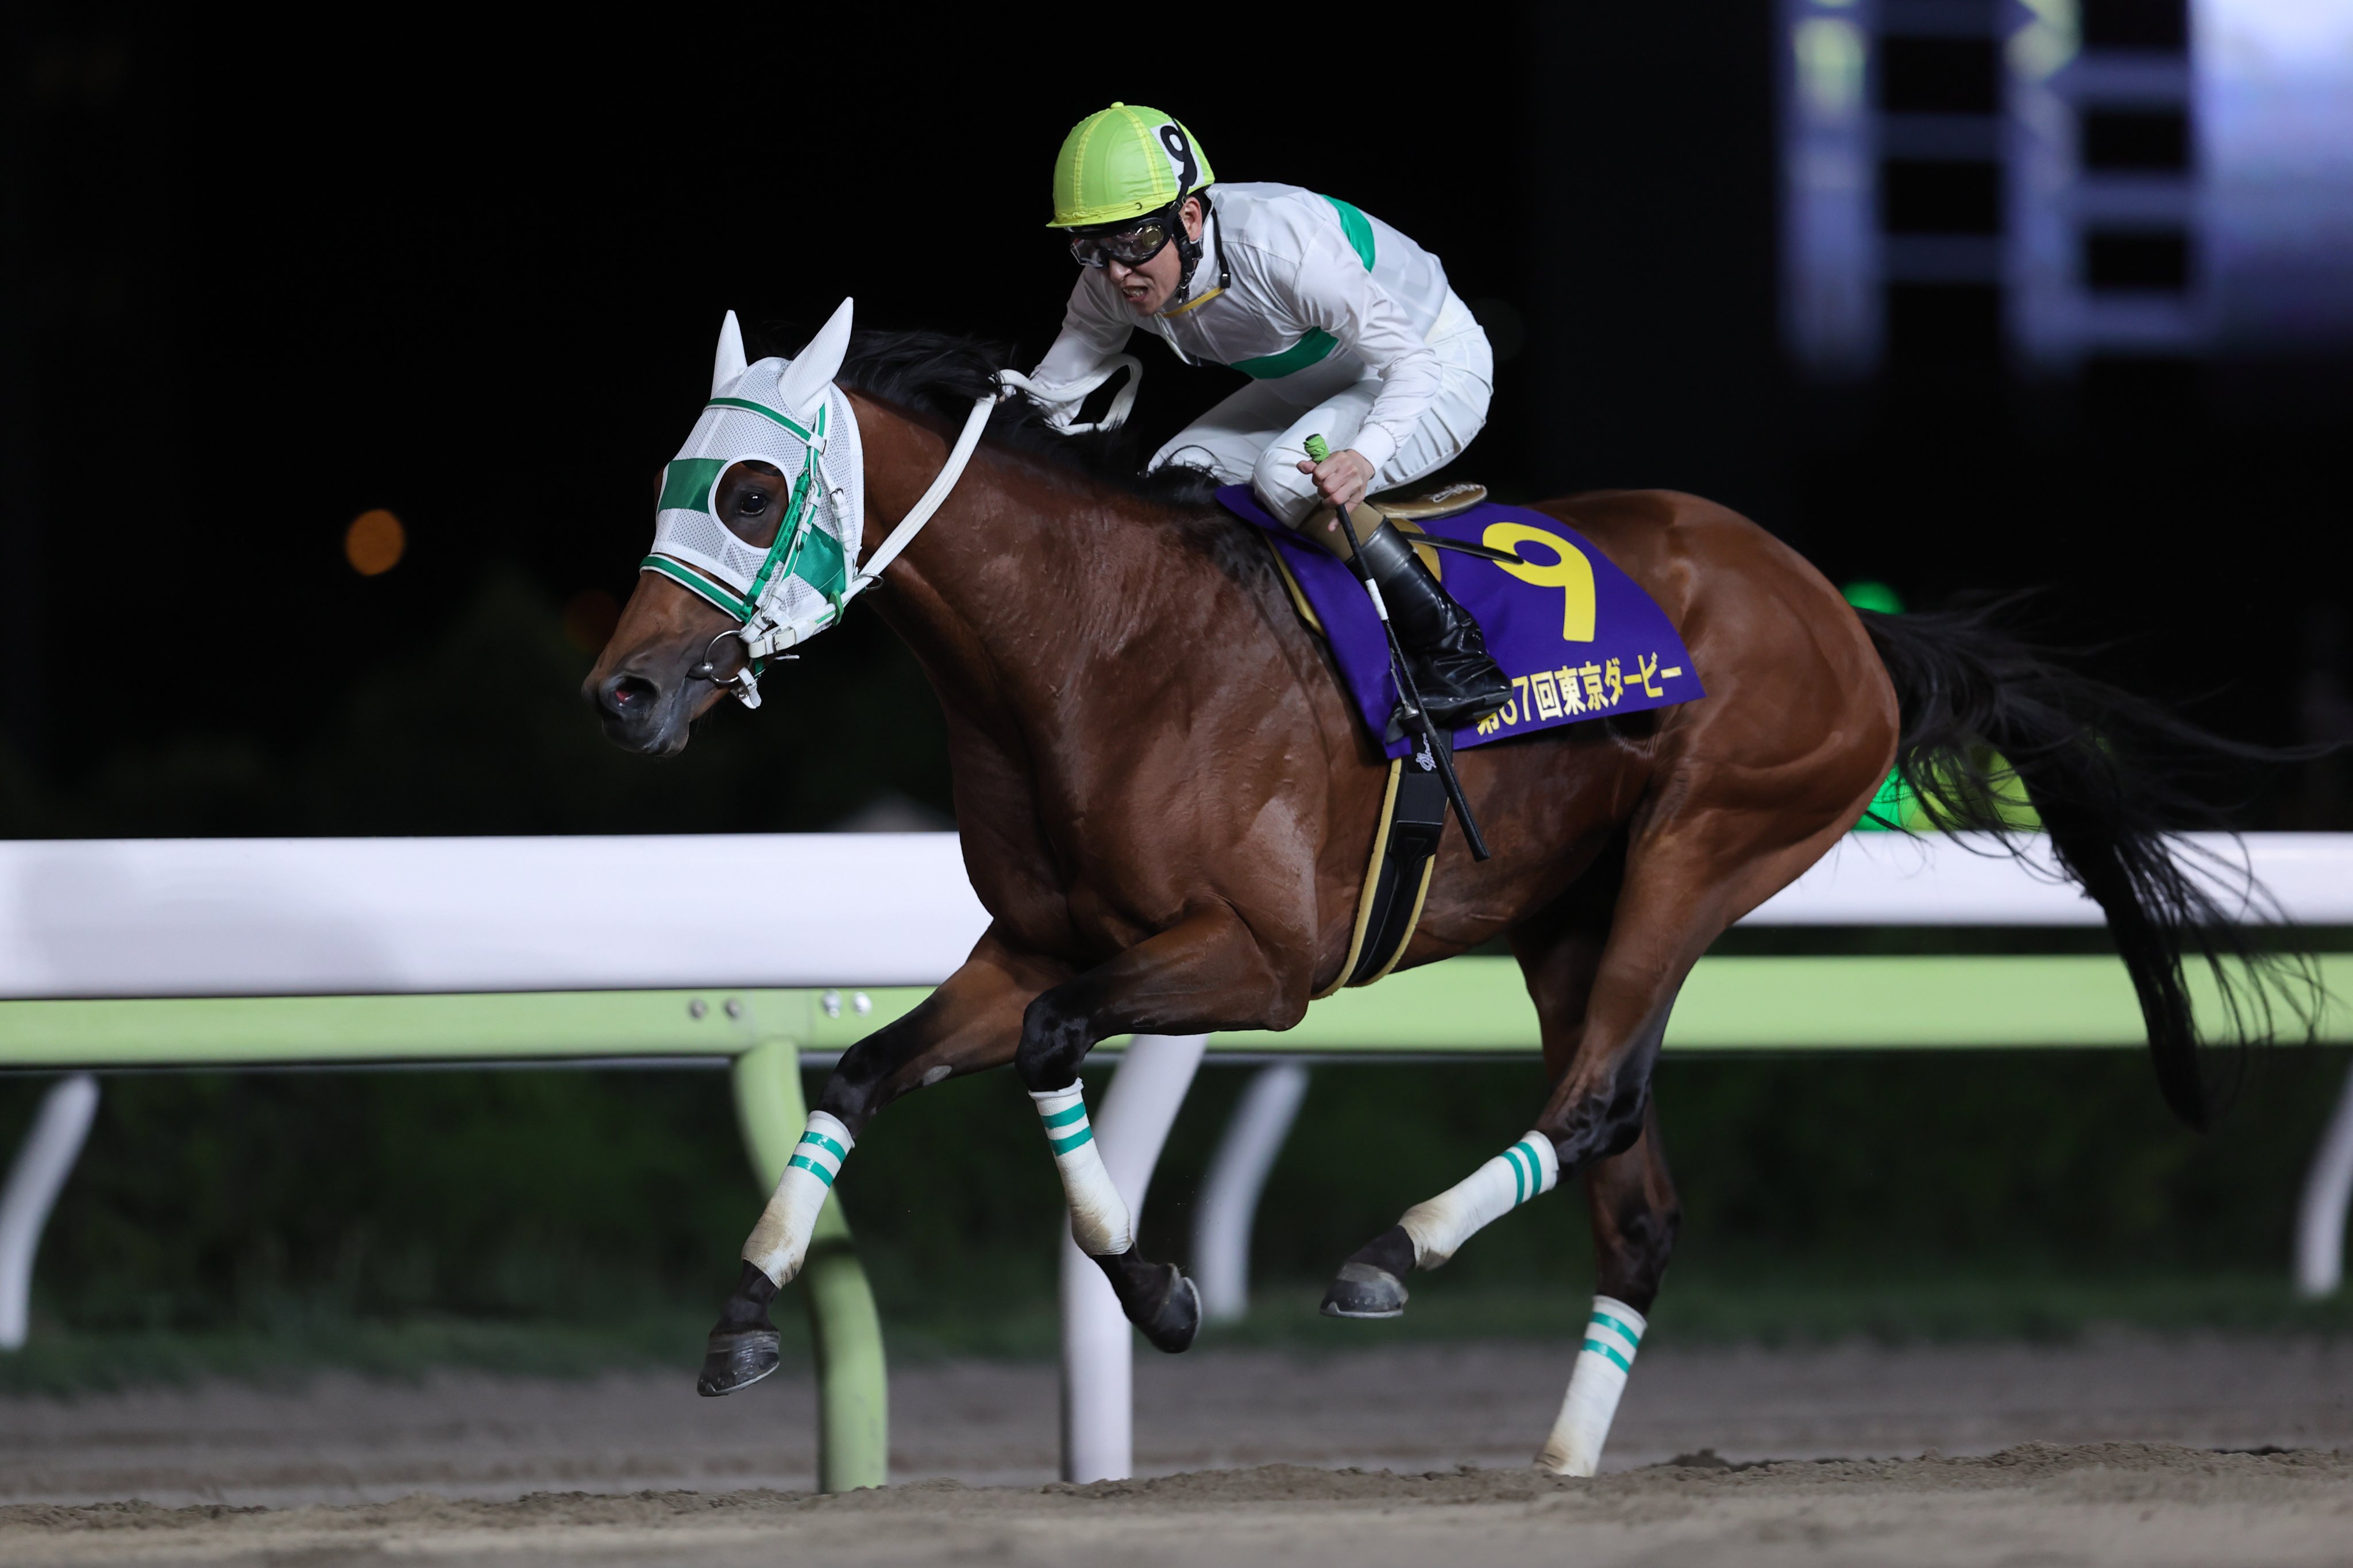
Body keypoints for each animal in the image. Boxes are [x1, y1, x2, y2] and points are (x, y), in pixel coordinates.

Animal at [587, 312, 2291, 1473]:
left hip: (1709, 841)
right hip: (1569, 919)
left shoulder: (1261, 959)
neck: (1095, 648)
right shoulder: (1032, 938)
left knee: (1599, 1104)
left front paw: (1159, 1287)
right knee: (1639, 1211)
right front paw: (746, 1311)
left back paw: (1394, 1252)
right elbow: (869, 1070)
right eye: (674, 476)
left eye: (751, 492)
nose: (623, 695)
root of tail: (1846, 617)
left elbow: (1059, 1045)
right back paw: (1559, 1464)